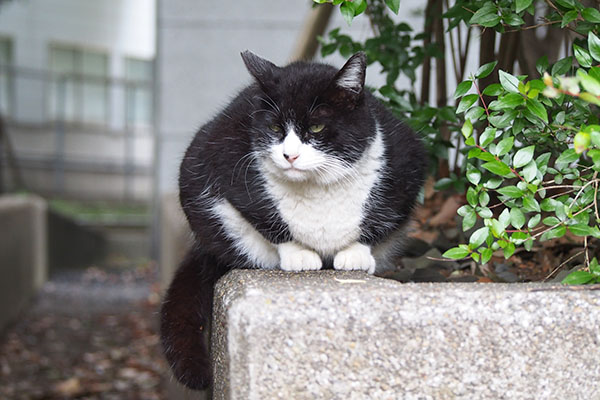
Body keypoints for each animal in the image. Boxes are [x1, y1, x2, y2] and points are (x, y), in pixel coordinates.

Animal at [157, 50, 424, 390]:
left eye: (317, 128)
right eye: (274, 128)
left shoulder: (407, 163)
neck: (319, 189)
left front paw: (356, 255)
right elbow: (261, 214)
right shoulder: (220, 161)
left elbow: (380, 220)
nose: (290, 156)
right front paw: (298, 254)